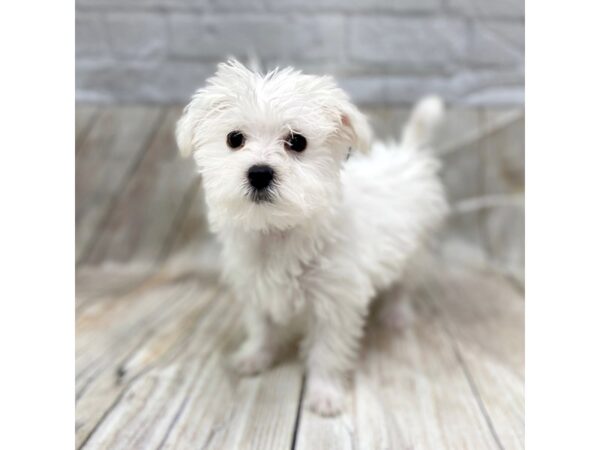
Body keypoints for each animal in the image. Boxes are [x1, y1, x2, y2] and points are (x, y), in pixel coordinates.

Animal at [176, 60, 448, 418]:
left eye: (297, 142)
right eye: (234, 139)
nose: (259, 172)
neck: (277, 231)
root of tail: (407, 154)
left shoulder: (335, 301)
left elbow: (327, 352)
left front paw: (325, 394)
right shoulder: (254, 286)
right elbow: (261, 327)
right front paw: (254, 357)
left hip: (416, 248)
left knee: (403, 283)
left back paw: (397, 314)